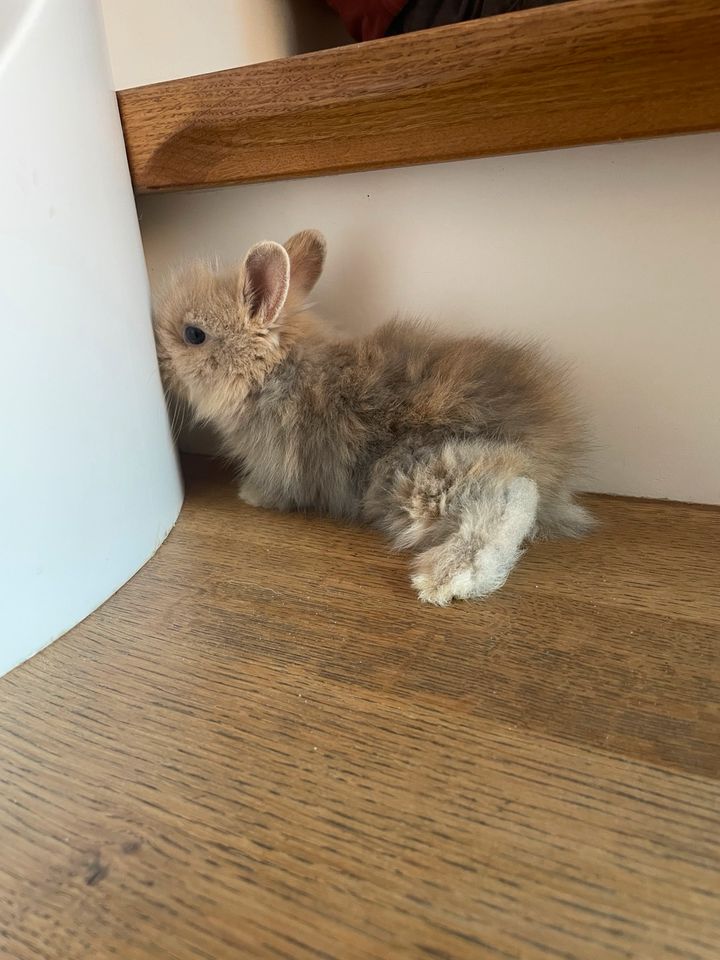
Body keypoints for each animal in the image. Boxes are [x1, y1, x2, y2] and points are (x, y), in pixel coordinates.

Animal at [155, 229, 592, 604]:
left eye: (193, 335)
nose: (159, 361)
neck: (275, 371)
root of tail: (557, 453)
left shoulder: (280, 465)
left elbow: (279, 490)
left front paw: (251, 496)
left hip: (425, 470)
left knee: (509, 498)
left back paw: (442, 580)